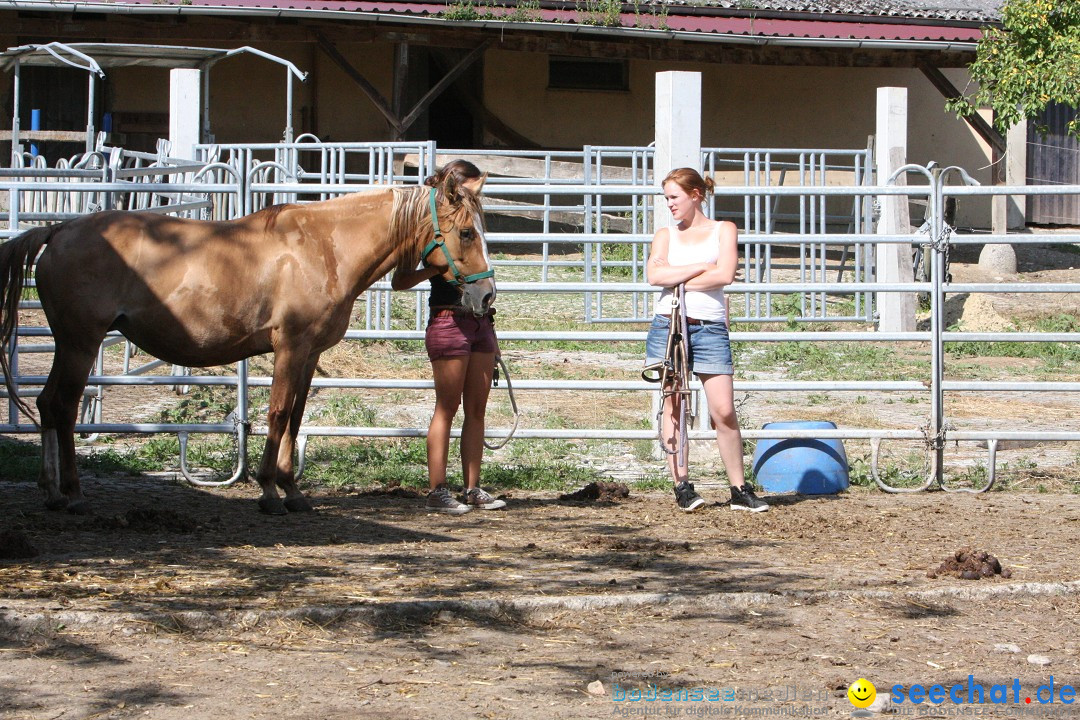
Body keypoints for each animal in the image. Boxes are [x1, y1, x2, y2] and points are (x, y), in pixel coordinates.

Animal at [0, 174, 494, 515]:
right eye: (467, 232)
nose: (486, 297)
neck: (325, 246)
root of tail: (59, 232)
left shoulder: (310, 354)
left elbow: (295, 416)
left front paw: (293, 491)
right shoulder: (290, 347)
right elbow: (276, 413)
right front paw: (270, 491)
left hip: (69, 344)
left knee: (47, 404)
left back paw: (51, 491)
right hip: (81, 344)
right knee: (64, 407)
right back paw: (73, 494)